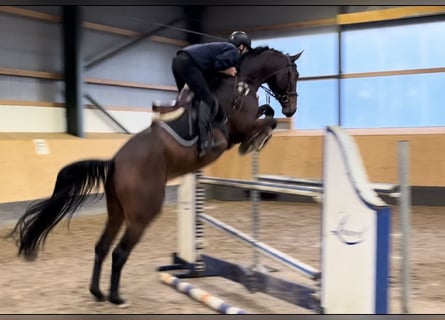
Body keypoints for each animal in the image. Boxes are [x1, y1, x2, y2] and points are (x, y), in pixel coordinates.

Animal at [6, 45, 302, 308]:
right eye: (293, 73)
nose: (292, 109)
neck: (241, 80)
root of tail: (115, 163)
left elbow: (268, 114)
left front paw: (261, 134)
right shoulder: (239, 127)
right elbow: (266, 120)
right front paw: (256, 141)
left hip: (117, 212)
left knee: (102, 247)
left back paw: (97, 292)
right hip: (142, 215)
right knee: (119, 252)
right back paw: (116, 298)